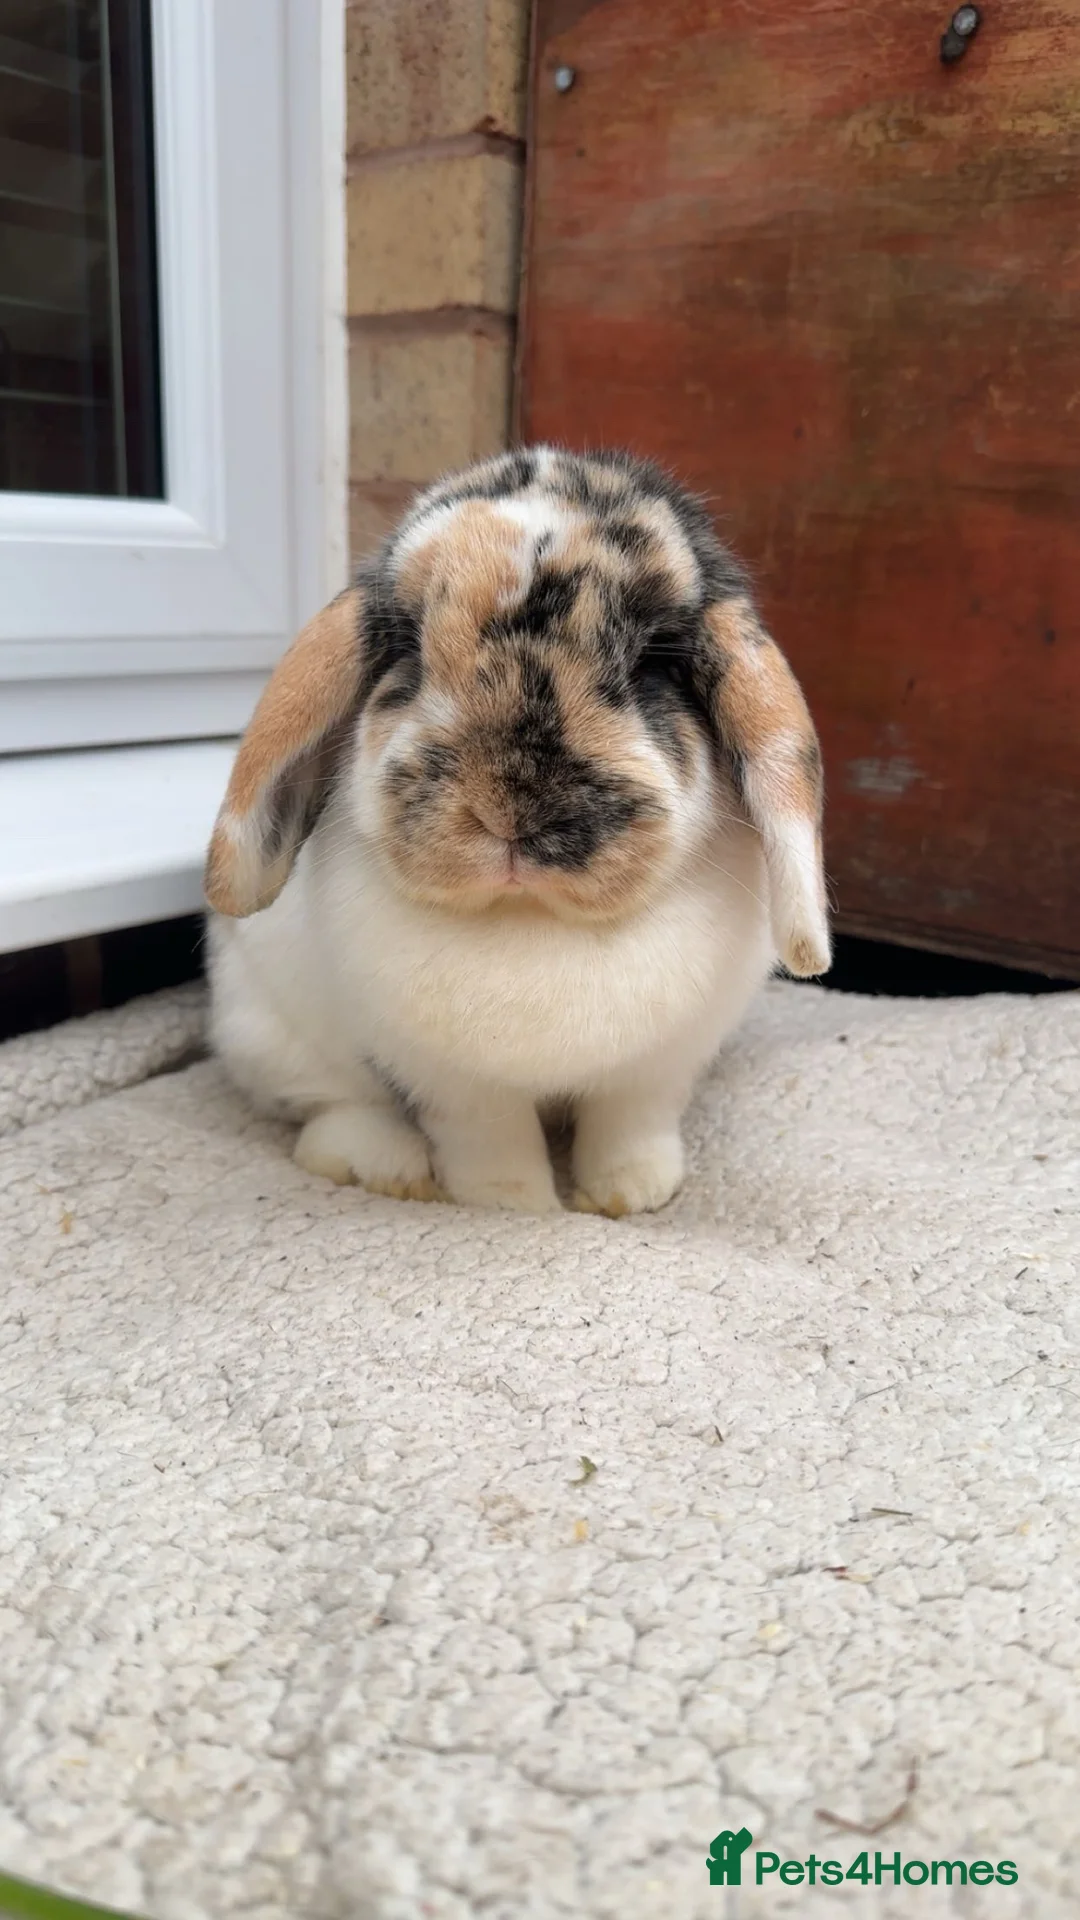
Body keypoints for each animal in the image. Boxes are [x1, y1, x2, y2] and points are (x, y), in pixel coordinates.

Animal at [204, 446, 830, 1216]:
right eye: (408, 650)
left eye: (654, 662)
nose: (510, 810)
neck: (532, 916)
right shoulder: (458, 1085)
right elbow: (492, 1142)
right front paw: (514, 1207)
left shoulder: (657, 1069)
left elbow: (630, 1125)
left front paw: (630, 1195)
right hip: (268, 1033)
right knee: (327, 1109)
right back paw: (387, 1168)